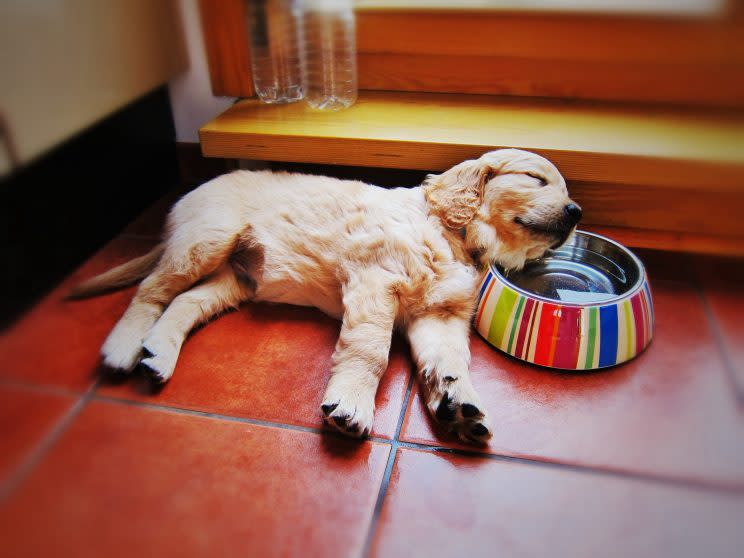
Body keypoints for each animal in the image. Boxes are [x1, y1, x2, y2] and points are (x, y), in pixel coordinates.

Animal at [71, 150, 580, 446]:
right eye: (535, 179)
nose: (576, 211)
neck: (453, 235)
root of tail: (192, 193)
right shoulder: (376, 280)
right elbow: (369, 350)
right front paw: (351, 402)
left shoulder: (440, 313)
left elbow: (451, 360)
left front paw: (459, 402)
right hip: (207, 240)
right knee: (150, 292)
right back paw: (123, 347)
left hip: (236, 278)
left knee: (184, 302)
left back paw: (158, 353)